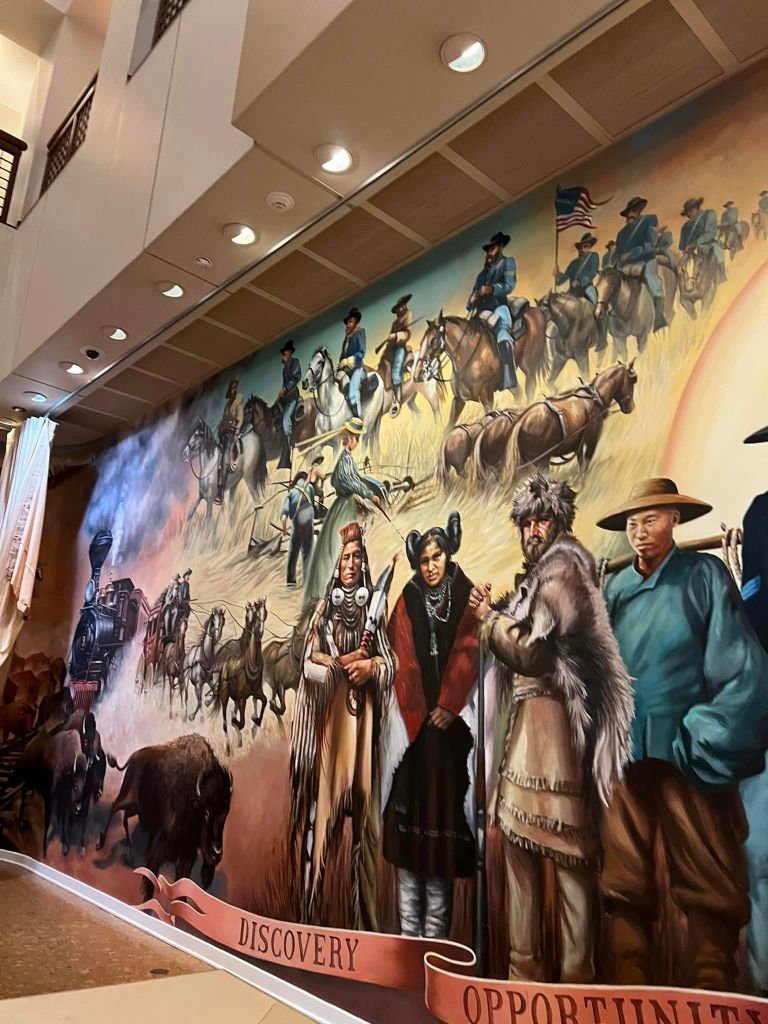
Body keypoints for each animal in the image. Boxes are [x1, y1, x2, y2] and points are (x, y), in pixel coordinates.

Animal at [96, 733, 232, 901]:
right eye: (205, 812)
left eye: (225, 812)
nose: (216, 853)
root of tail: (133, 757)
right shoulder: (159, 847)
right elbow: (150, 880)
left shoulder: (187, 853)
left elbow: (182, 883)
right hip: (128, 797)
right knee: (114, 807)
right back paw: (101, 845)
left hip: (135, 807)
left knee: (124, 817)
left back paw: (130, 855)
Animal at [211, 600, 268, 754]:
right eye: (256, 614)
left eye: (265, 614)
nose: (259, 633)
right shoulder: (242, 698)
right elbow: (240, 722)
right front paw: (239, 722)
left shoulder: (257, 692)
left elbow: (264, 701)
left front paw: (256, 722)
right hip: (225, 696)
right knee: (225, 720)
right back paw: (228, 747)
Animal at [413, 308, 548, 424]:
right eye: (421, 342)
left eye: (433, 340)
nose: (417, 374)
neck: (468, 356)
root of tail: (536, 311)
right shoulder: (458, 401)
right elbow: (448, 428)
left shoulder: (487, 397)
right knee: (519, 394)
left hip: (529, 369)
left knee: (530, 388)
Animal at [474, 362, 638, 487]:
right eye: (632, 380)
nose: (630, 407)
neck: (593, 398)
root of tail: (521, 421)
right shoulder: (592, 441)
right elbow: (586, 463)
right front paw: (583, 483)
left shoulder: (578, 444)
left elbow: (581, 461)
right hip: (539, 460)